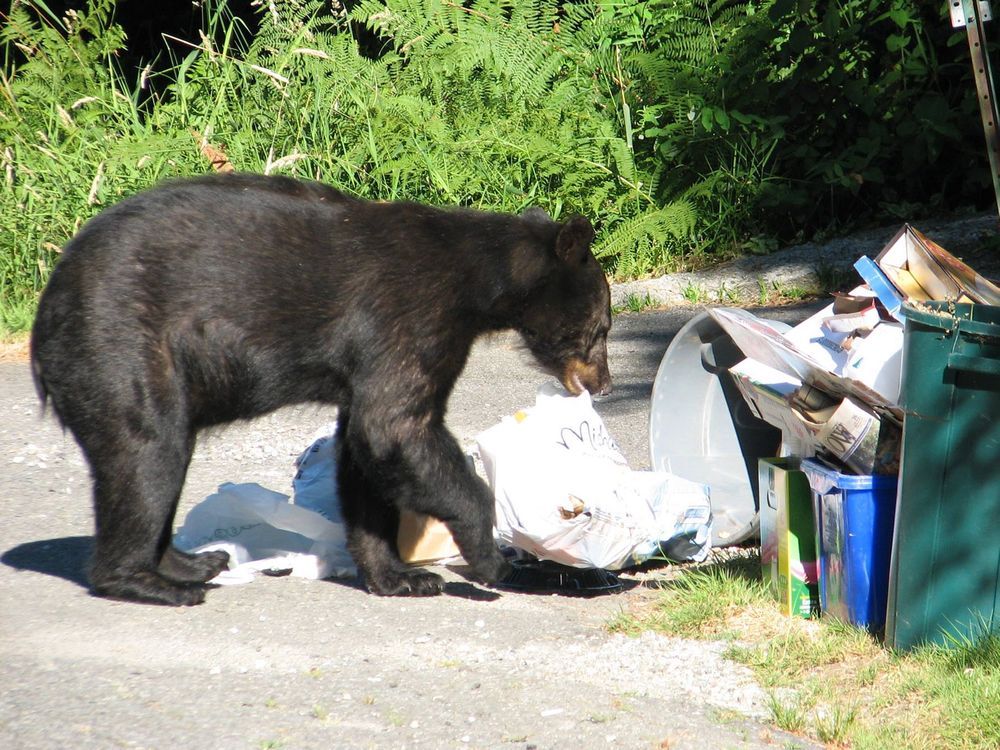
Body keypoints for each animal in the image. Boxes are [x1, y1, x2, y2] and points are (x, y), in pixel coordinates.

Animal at [29, 173, 608, 608]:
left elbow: (363, 448)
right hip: (122, 348)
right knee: (147, 452)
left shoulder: (372, 359)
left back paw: (194, 562)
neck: (475, 282)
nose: (602, 381)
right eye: (601, 327)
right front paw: (488, 557)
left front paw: (400, 575)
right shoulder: (408, 317)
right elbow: (395, 426)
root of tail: (47, 310)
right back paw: (151, 582)